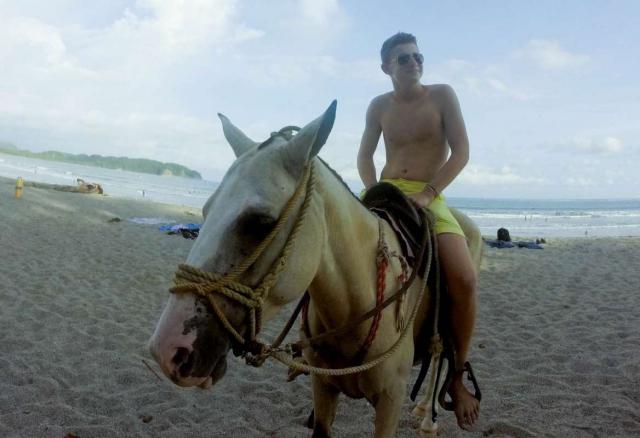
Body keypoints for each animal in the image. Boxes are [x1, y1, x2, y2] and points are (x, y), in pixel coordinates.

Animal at [148, 101, 482, 437]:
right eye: (205, 211)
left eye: (260, 222)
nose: (167, 350)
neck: (355, 304)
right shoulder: (323, 388)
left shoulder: (391, 400)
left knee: (442, 355)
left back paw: (430, 415)